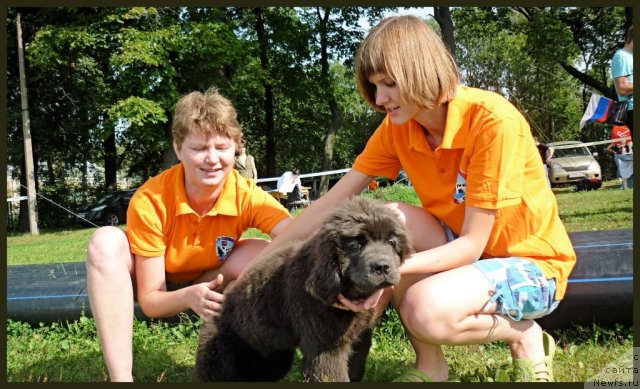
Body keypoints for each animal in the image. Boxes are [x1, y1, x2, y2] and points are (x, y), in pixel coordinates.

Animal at [194, 196, 410, 380]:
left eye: (391, 243)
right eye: (356, 245)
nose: (383, 267)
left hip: (271, 355)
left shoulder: (360, 336)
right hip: (219, 356)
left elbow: (356, 368)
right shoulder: (325, 347)